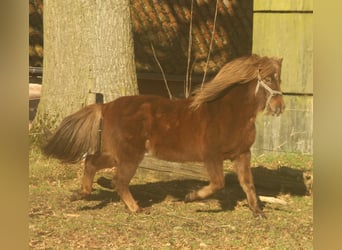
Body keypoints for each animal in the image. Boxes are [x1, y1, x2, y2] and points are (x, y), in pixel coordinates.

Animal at [42, 54, 284, 217]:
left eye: (279, 78)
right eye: (268, 79)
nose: (279, 107)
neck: (229, 113)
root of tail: (107, 106)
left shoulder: (242, 154)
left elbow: (248, 183)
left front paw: (258, 212)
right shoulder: (212, 156)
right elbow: (218, 183)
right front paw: (190, 197)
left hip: (117, 153)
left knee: (92, 162)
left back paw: (81, 194)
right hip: (130, 155)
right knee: (119, 180)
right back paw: (136, 208)